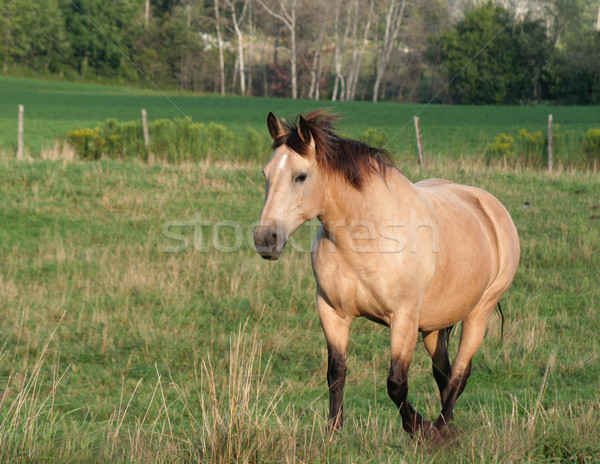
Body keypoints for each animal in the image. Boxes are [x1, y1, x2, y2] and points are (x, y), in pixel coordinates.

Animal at [253, 109, 520, 438]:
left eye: (300, 176)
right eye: (265, 174)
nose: (265, 240)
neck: (365, 237)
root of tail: (492, 208)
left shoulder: (403, 319)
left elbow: (396, 384)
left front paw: (418, 428)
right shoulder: (332, 313)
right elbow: (336, 373)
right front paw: (333, 431)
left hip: (479, 312)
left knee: (460, 373)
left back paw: (440, 429)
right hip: (433, 325)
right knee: (444, 374)